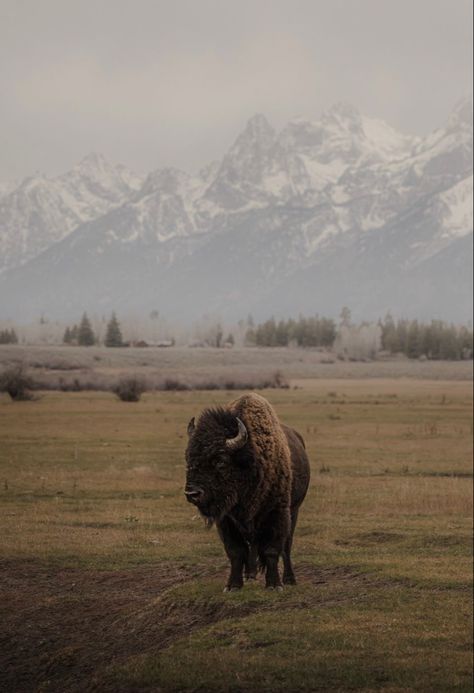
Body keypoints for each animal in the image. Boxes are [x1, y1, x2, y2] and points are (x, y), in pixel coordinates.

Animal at [183, 392, 310, 588]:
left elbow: (272, 550)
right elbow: (236, 551)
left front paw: (274, 585)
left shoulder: (277, 512)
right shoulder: (226, 519)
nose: (192, 494)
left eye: (220, 460)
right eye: (188, 459)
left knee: (286, 546)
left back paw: (289, 579)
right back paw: (250, 574)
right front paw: (233, 585)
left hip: (294, 510)